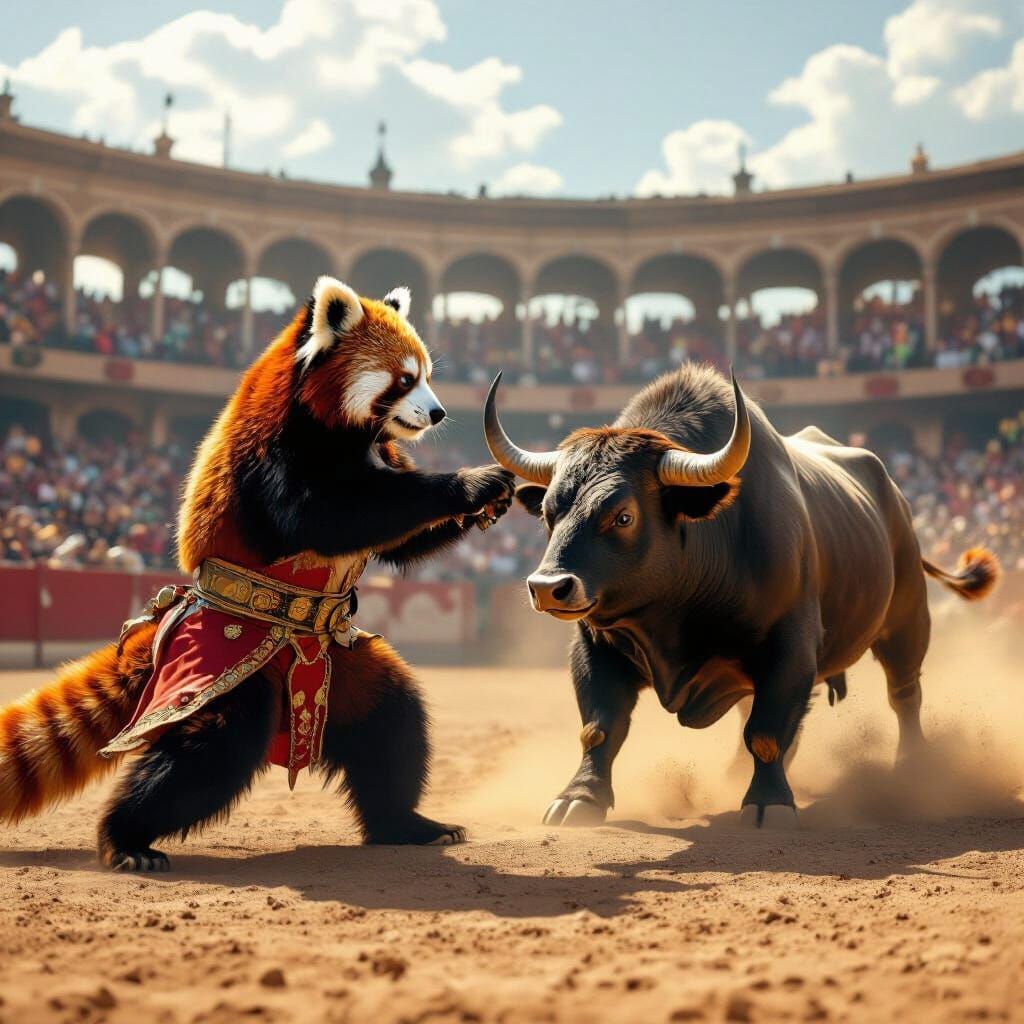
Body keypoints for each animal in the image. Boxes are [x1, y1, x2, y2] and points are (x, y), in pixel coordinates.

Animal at [0, 276, 515, 870]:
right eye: (405, 379)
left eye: (428, 374)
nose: (436, 414)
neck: (333, 425)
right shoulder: (275, 458)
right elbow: (334, 516)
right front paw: (470, 484)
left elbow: (400, 540)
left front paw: (492, 501)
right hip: (219, 672)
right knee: (212, 750)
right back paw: (125, 839)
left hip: (343, 670)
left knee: (393, 723)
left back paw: (407, 825)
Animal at [483, 364, 999, 827]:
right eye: (549, 513)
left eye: (623, 515)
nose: (548, 587)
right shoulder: (595, 646)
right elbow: (599, 727)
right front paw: (580, 798)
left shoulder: (789, 646)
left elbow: (767, 730)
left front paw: (769, 802)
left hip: (906, 621)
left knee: (904, 694)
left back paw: (912, 766)